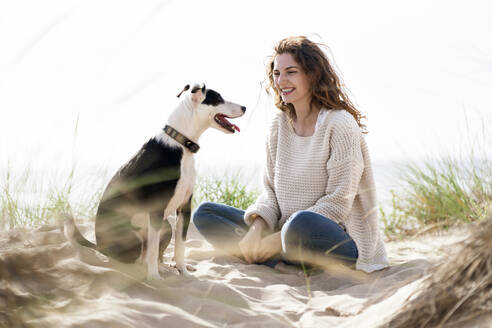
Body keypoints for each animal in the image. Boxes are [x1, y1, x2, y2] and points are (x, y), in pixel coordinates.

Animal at [63, 84, 246, 280]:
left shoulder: (185, 207)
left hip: (166, 227)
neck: (181, 144)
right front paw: (154, 278)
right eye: (218, 99)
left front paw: (184, 272)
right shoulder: (156, 209)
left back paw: (165, 267)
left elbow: (180, 246)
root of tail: (99, 246)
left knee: (148, 253)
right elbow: (152, 250)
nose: (244, 107)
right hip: (134, 235)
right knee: (137, 258)